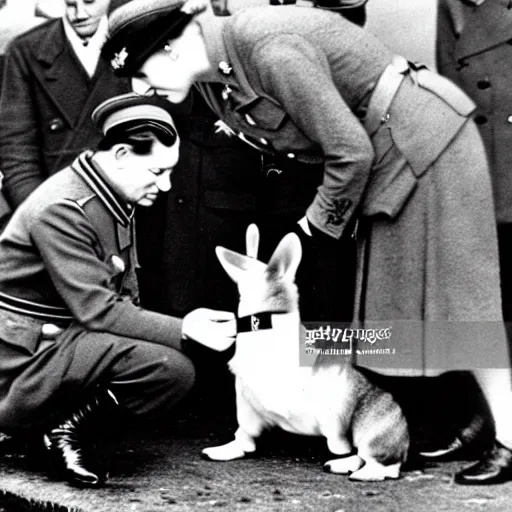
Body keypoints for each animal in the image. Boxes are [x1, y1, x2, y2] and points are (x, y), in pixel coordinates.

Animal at [202, 224, 410, 480]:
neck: (264, 324)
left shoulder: (331, 414)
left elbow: (335, 437)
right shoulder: (246, 403)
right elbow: (244, 433)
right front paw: (228, 450)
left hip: (369, 430)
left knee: (383, 464)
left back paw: (362, 472)